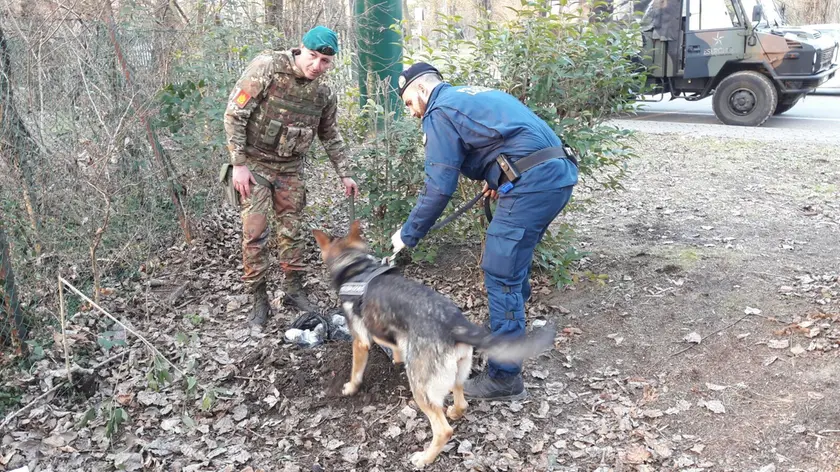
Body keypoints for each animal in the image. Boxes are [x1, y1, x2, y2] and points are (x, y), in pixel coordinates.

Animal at [312, 223, 556, 470]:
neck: (356, 265)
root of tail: (454, 324)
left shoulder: (360, 341)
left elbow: (356, 371)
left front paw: (350, 388)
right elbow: (393, 344)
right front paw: (396, 355)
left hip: (421, 388)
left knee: (443, 430)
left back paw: (424, 458)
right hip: (457, 373)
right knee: (461, 402)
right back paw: (455, 412)